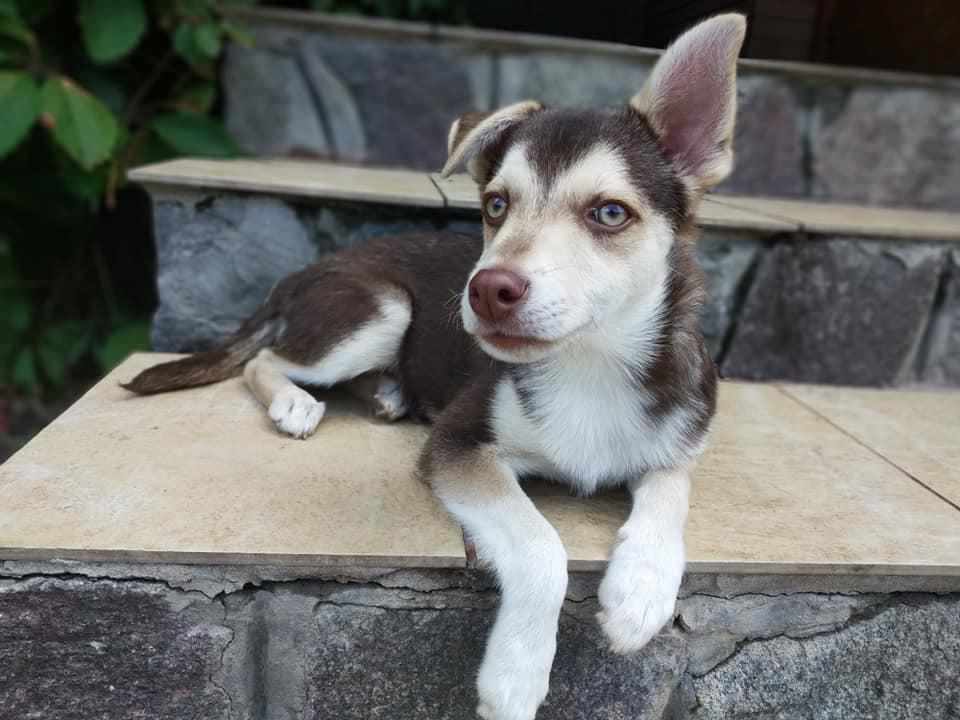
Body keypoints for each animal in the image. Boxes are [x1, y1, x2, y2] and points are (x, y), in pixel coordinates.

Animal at [124, 14, 748, 716]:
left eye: (609, 213)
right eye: (497, 205)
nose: (487, 289)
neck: (589, 365)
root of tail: (309, 268)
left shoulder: (677, 440)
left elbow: (671, 490)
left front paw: (640, 592)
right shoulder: (459, 444)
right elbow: (540, 545)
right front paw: (516, 675)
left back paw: (387, 394)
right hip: (381, 309)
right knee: (264, 356)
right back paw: (297, 402)